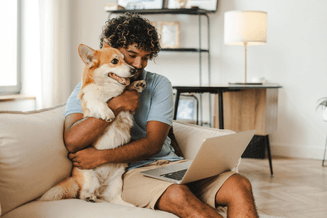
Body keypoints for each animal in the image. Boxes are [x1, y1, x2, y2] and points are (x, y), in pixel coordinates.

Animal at [39, 41, 146, 206]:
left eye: (125, 59)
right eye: (115, 61)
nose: (133, 70)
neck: (106, 87)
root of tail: (101, 186)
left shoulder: (127, 111)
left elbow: (124, 89)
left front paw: (135, 84)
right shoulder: (90, 101)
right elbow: (98, 101)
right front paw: (108, 112)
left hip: (116, 183)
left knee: (113, 198)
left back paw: (126, 204)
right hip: (88, 177)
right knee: (82, 193)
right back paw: (89, 196)